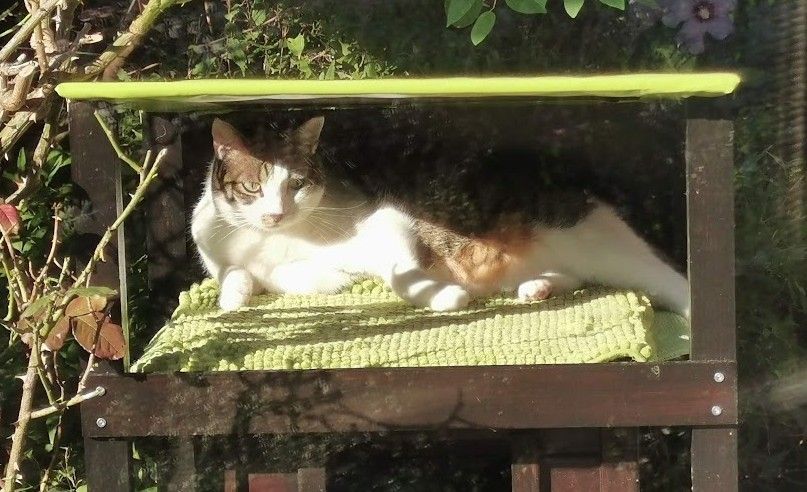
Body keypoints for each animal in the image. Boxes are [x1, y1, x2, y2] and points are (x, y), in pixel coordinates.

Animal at [191, 116, 690, 317]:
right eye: (253, 187)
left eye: (296, 184)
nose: (276, 214)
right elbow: (246, 274)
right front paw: (233, 298)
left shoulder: (387, 223)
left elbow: (401, 275)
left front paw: (447, 297)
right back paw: (538, 287)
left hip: (594, 241)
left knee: (674, 282)